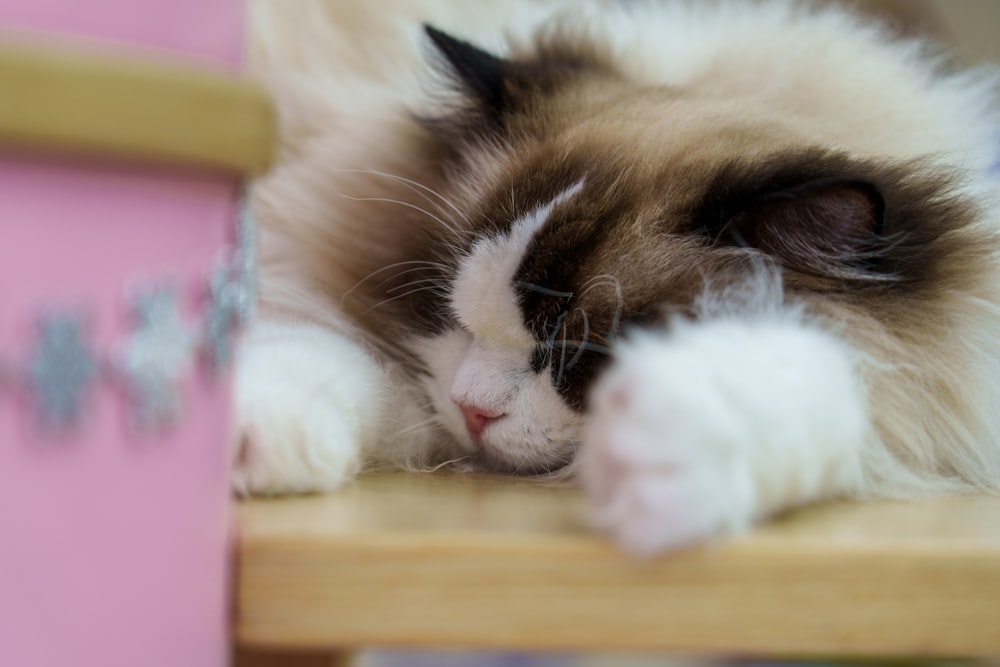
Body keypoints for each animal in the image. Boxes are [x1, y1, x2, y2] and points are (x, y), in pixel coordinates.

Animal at [238, 0, 1000, 552]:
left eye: (584, 353)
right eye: (449, 314)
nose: (472, 410)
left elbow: (822, 383)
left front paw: (663, 448)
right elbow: (313, 362)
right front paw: (244, 446)